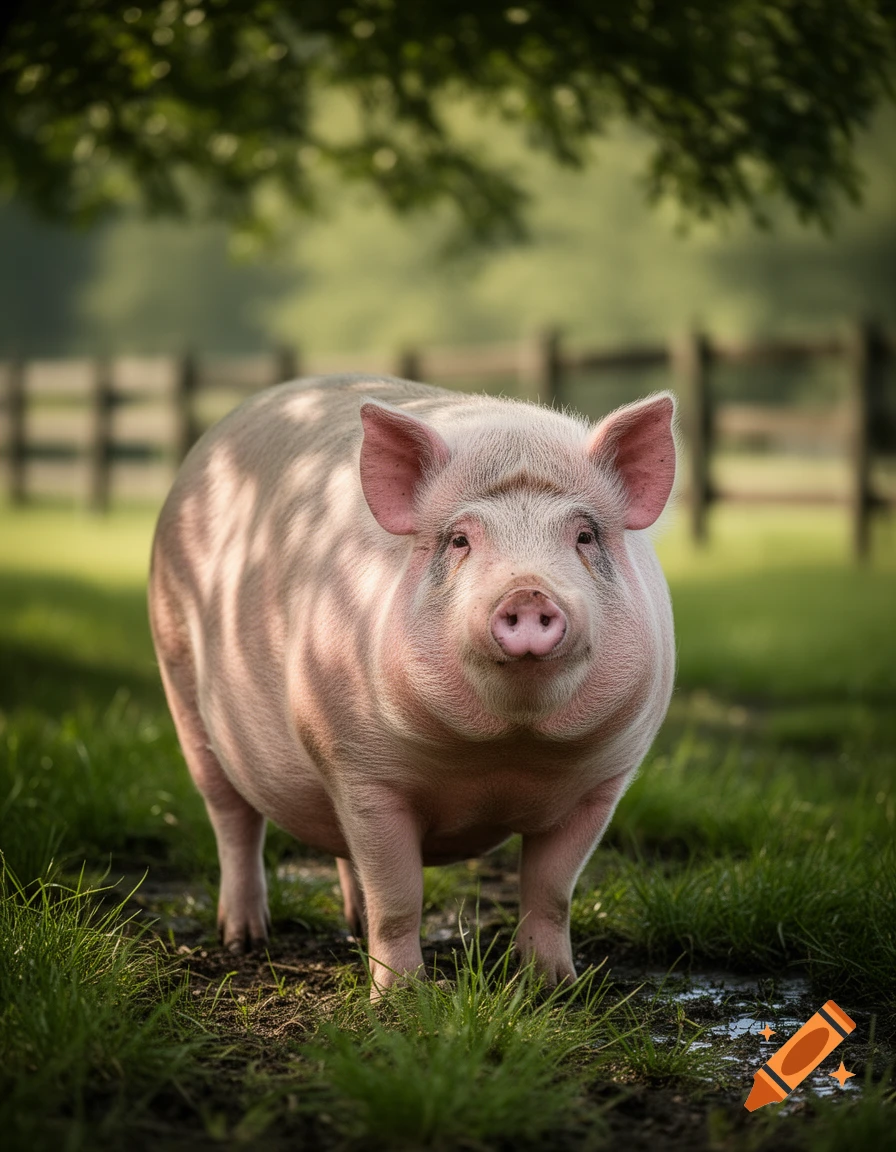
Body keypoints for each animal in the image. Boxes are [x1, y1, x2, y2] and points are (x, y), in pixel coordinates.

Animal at [148, 375, 676, 997]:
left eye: (586, 535)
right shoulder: (360, 769)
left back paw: (350, 928)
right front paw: (400, 997)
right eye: (460, 540)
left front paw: (555, 987)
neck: (506, 751)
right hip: (179, 676)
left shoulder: (603, 782)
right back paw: (244, 940)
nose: (528, 592)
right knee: (232, 818)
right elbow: (399, 896)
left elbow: (551, 892)